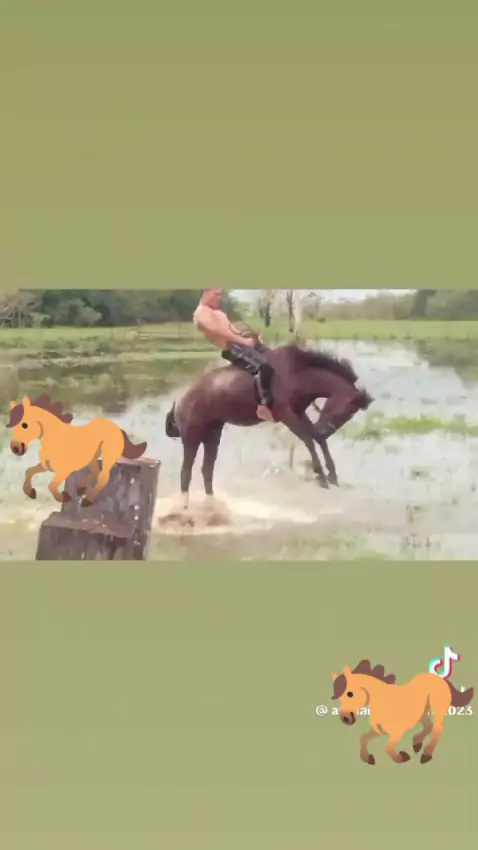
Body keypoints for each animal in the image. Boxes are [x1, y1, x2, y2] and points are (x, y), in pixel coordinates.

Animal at [7, 394, 147, 506]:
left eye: (25, 425)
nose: (16, 448)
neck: (54, 440)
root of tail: (116, 428)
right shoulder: (46, 466)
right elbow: (29, 471)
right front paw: (30, 492)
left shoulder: (63, 471)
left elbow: (51, 485)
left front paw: (64, 497)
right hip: (92, 458)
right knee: (96, 472)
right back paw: (81, 488)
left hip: (108, 456)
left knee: (103, 476)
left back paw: (87, 500)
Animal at [165, 342, 373, 507]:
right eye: (347, 411)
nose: (325, 430)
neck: (297, 374)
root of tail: (180, 402)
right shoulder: (286, 414)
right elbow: (308, 440)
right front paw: (321, 477)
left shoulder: (299, 412)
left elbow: (316, 439)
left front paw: (332, 476)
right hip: (192, 437)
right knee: (186, 472)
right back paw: (184, 508)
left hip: (212, 435)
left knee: (206, 470)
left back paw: (212, 505)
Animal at [331, 660, 474, 765]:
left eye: (350, 694)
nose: (345, 718)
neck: (383, 703)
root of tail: (439, 678)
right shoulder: (381, 730)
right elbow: (363, 738)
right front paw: (368, 758)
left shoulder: (397, 732)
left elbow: (388, 747)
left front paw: (402, 757)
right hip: (422, 712)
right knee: (429, 726)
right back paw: (416, 743)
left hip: (438, 708)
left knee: (437, 729)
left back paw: (426, 754)